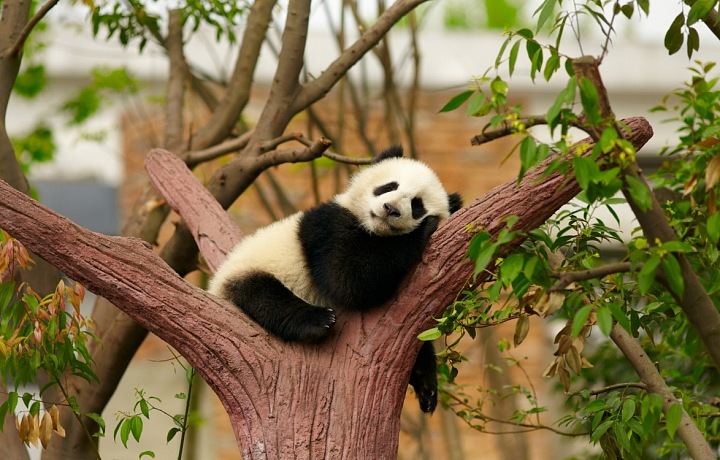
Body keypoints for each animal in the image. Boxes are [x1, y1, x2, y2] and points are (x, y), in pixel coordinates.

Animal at [208, 146, 462, 413]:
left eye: (417, 205)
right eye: (388, 186)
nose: (390, 208)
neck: (373, 229)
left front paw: (426, 383)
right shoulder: (327, 227)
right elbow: (347, 278)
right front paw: (423, 230)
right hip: (249, 270)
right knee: (263, 295)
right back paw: (317, 320)